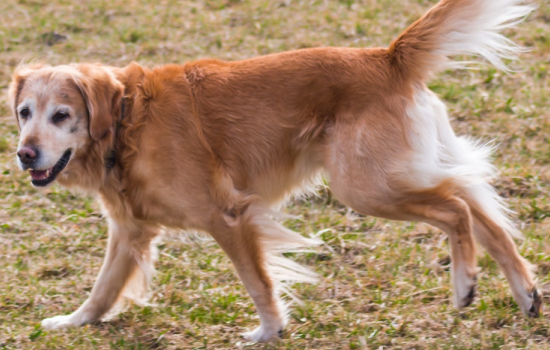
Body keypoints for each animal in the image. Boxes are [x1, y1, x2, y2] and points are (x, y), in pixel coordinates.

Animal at [7, 0, 544, 342]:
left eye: (62, 115)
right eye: (24, 112)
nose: (24, 154)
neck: (126, 121)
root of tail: (386, 57)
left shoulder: (227, 215)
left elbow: (258, 282)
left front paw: (268, 331)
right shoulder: (129, 230)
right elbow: (102, 290)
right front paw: (73, 322)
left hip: (365, 186)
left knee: (456, 208)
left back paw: (465, 282)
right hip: (392, 176)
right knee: (475, 201)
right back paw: (526, 292)